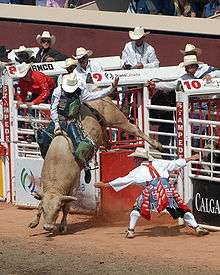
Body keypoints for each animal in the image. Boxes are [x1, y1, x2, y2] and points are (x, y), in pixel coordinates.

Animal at [28, 97, 162, 233]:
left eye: (57, 209)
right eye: (44, 210)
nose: (48, 227)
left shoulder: (74, 186)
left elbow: (67, 207)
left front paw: (63, 226)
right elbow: (39, 203)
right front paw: (34, 222)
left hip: (116, 118)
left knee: (134, 128)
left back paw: (157, 145)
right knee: (106, 135)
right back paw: (108, 144)